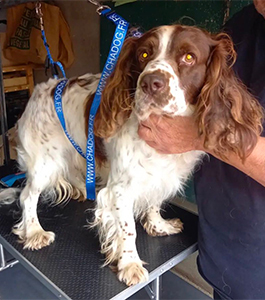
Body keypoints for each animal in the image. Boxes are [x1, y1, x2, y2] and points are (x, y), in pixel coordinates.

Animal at [0, 25, 260, 286]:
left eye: (189, 57)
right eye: (144, 54)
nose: (151, 82)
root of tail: (42, 90)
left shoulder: (160, 176)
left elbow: (155, 203)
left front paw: (159, 226)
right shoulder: (120, 189)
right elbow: (128, 229)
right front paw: (130, 264)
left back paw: (81, 190)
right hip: (44, 163)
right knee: (28, 196)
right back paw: (35, 231)